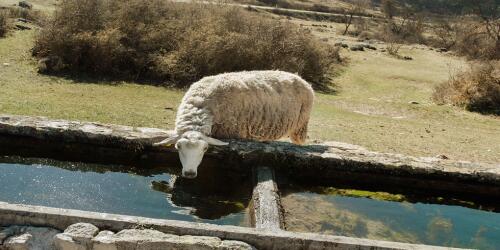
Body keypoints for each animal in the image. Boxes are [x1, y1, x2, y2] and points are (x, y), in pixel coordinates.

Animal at [154, 70, 314, 179]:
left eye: (205, 148)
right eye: (178, 147)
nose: (189, 173)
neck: (201, 104)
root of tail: (299, 77)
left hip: (300, 127)